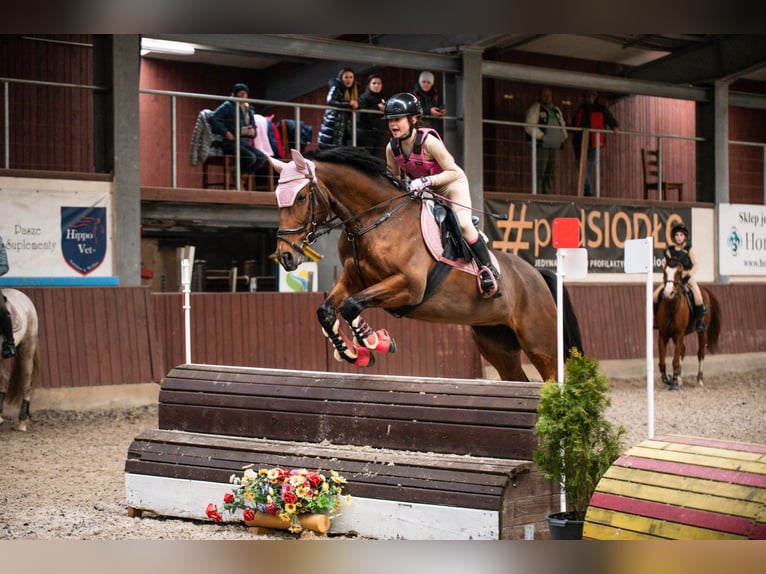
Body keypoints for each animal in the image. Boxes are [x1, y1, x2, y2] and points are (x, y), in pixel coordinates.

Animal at [270, 148, 584, 382]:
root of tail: (536, 275)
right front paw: (352, 353)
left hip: (540, 344)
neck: (376, 219)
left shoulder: (409, 286)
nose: (285, 256)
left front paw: (376, 342)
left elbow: (351, 306)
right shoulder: (353, 278)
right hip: (496, 343)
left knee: (551, 377)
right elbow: (327, 310)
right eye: (277, 198)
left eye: (301, 196)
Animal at [656, 264, 724, 392]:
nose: (668, 293)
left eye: (679, 273)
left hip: (702, 332)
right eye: (664, 272)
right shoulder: (663, 335)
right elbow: (662, 362)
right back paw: (679, 378)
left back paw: (699, 380)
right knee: (683, 350)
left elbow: (675, 361)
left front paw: (673, 384)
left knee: (700, 353)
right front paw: (667, 379)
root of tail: (704, 290)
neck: (671, 306)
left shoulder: (679, 334)